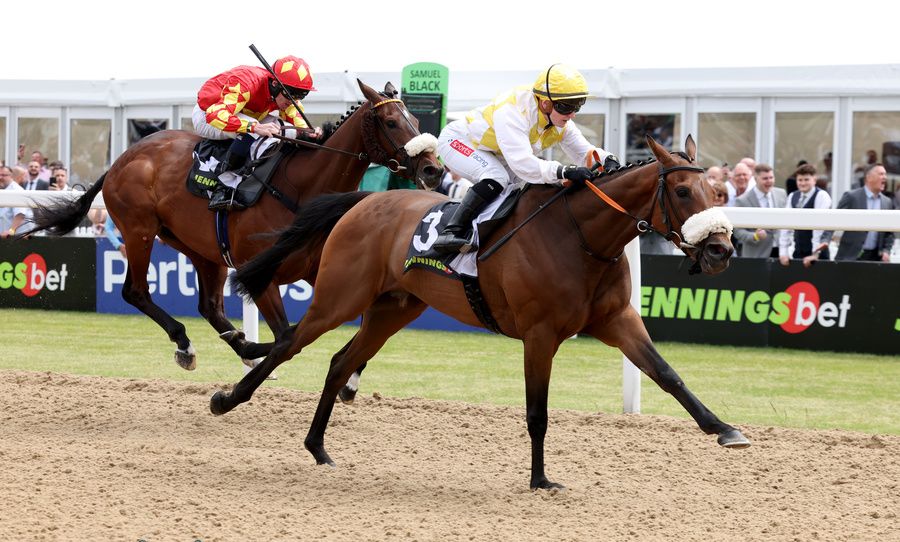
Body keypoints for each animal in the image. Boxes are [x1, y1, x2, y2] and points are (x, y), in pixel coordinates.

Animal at [24, 78, 440, 372]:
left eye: (416, 119)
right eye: (391, 121)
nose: (432, 169)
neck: (300, 188)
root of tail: (123, 158)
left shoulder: (326, 269)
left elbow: (361, 322)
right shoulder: (262, 277)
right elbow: (287, 333)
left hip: (202, 249)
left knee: (209, 306)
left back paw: (239, 346)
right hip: (139, 230)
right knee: (136, 291)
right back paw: (192, 345)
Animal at [216, 135, 744, 492]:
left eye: (716, 192)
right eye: (682, 193)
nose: (721, 251)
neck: (580, 236)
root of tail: (367, 199)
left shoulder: (617, 320)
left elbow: (667, 374)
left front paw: (724, 429)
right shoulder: (540, 334)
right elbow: (537, 412)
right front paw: (540, 480)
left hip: (393, 309)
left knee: (340, 362)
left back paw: (318, 447)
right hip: (339, 296)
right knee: (289, 343)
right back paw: (227, 399)